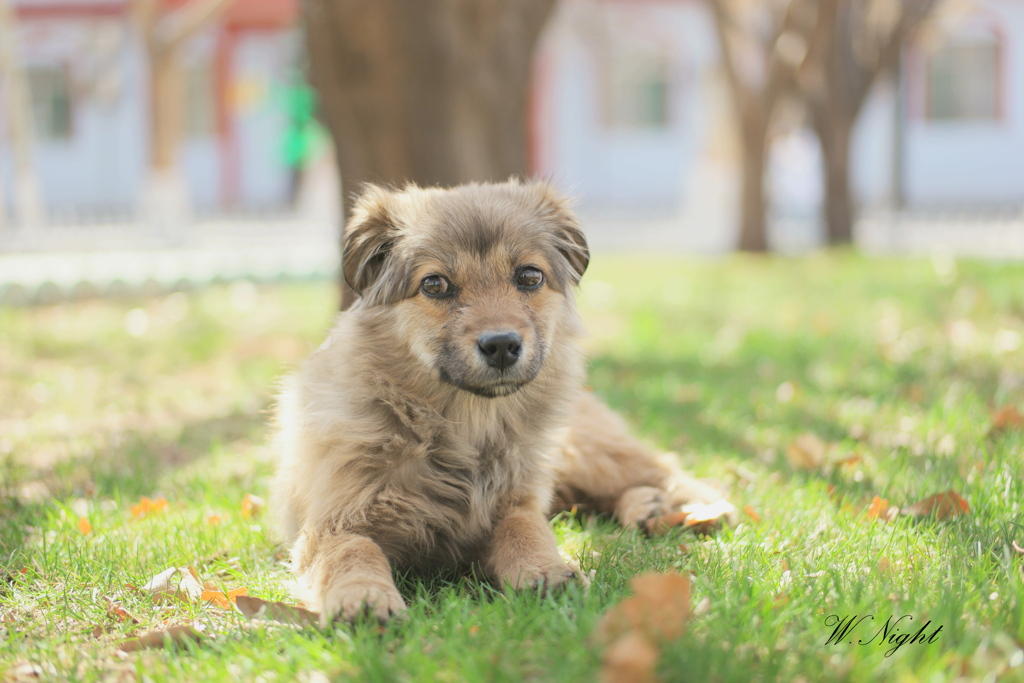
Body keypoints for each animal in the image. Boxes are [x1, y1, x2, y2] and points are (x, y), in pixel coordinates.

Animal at [272, 180, 733, 626]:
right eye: (434, 284)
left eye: (529, 276)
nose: (501, 346)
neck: (460, 428)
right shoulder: (334, 521)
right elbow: (353, 552)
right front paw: (363, 597)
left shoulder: (516, 501)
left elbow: (525, 529)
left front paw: (547, 571)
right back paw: (648, 507)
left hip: (580, 451)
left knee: (658, 467)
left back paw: (697, 509)